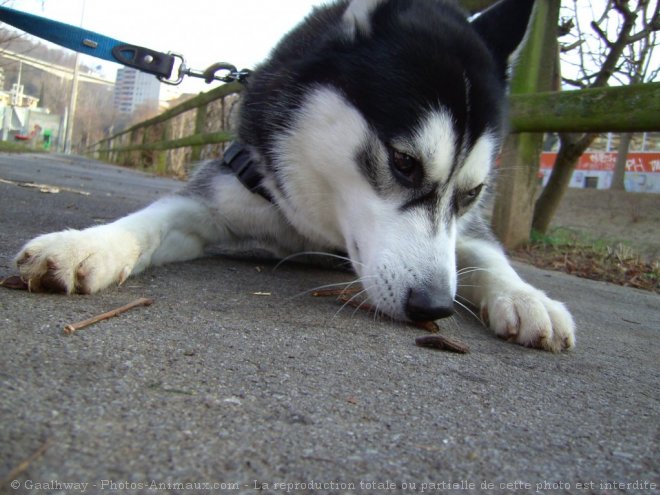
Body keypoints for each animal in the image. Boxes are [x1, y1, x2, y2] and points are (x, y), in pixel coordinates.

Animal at [14, 0, 572, 350]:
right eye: (404, 162)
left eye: (473, 192)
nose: (433, 306)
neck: (321, 221)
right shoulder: (220, 192)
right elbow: (151, 219)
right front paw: (85, 245)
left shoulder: (469, 228)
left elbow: (487, 254)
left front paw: (528, 298)